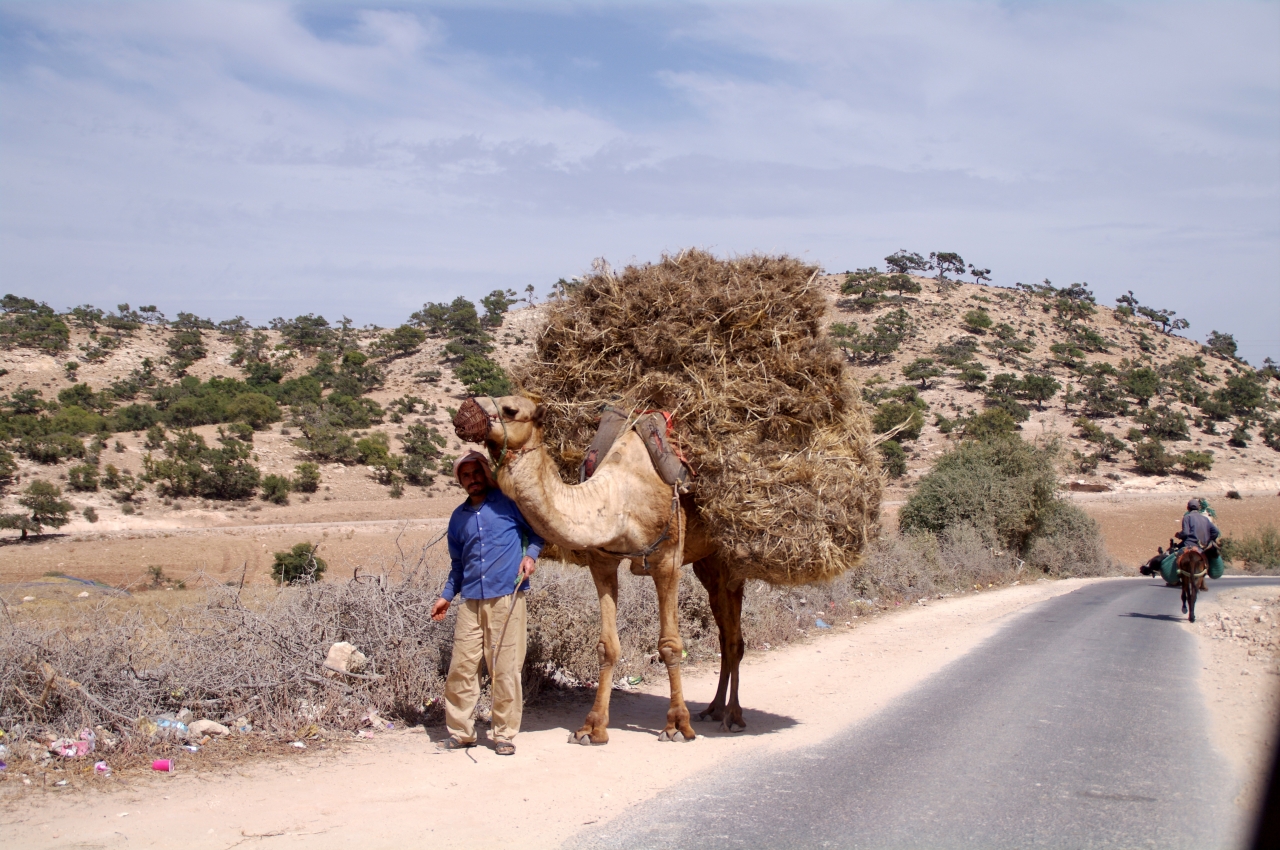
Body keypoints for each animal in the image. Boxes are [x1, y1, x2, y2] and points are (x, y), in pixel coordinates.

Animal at [455, 396, 747, 742]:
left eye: (511, 409)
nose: (463, 412)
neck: (621, 494)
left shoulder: (668, 558)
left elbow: (670, 645)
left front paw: (677, 725)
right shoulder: (602, 561)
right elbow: (607, 647)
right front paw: (591, 728)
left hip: (728, 558)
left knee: (733, 636)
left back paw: (733, 716)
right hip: (709, 561)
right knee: (726, 630)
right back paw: (714, 709)